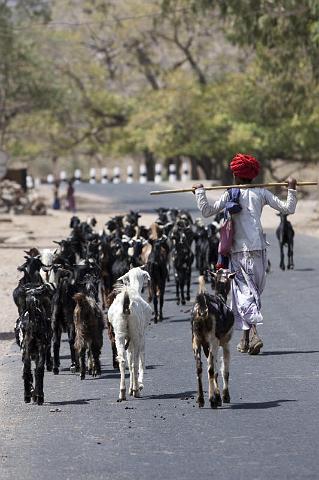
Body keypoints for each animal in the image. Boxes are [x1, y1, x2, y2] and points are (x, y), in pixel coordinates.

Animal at [107, 266, 152, 402]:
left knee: (122, 361)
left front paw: (130, 389)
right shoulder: (140, 335)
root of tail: (126, 306)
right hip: (136, 333)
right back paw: (137, 391)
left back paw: (122, 392)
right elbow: (140, 360)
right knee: (135, 362)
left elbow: (129, 357)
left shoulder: (128, 338)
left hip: (119, 333)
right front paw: (136, 387)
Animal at [191, 270, 236, 408]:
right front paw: (224, 396)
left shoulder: (205, 345)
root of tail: (202, 308)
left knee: (199, 368)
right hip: (213, 341)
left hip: (196, 341)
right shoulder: (225, 343)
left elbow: (216, 369)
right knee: (210, 369)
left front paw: (218, 397)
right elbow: (224, 370)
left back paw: (201, 399)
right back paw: (211, 400)